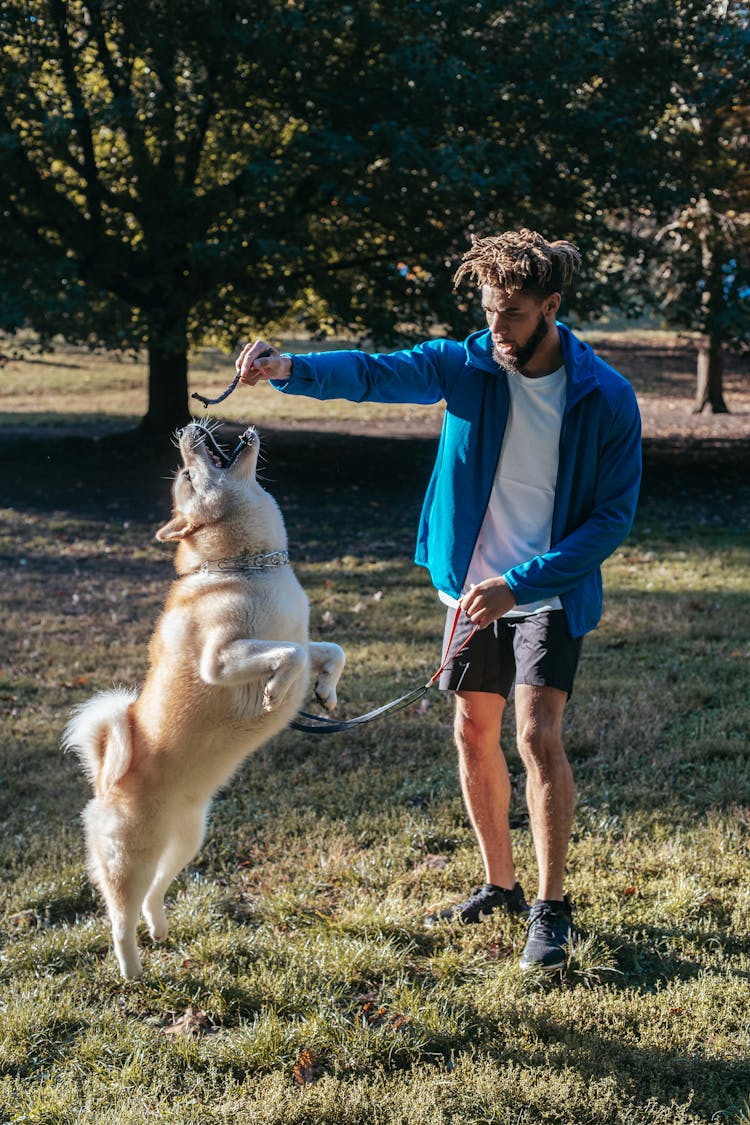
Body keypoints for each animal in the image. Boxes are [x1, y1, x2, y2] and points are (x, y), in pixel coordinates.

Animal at [64, 423, 346, 976]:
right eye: (189, 475)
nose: (188, 429)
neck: (246, 568)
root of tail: (106, 778)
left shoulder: (303, 638)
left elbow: (324, 651)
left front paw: (324, 691)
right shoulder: (219, 660)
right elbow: (289, 656)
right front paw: (276, 690)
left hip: (186, 842)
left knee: (154, 893)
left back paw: (160, 929)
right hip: (132, 857)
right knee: (119, 916)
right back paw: (132, 971)